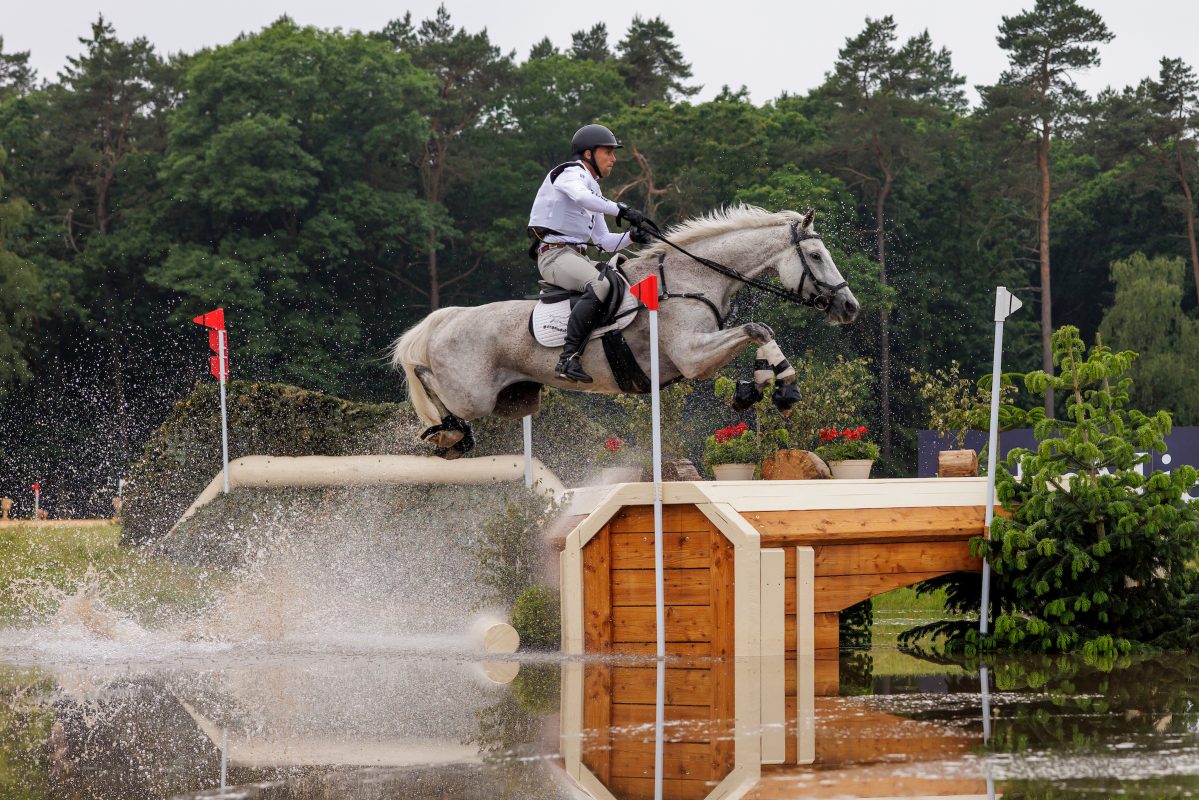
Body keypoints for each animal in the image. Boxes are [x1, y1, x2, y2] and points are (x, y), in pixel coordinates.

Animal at [390, 206, 860, 457]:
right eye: (816, 256)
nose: (850, 308)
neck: (695, 276)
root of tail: (448, 318)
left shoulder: (700, 358)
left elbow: (758, 332)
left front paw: (759, 386)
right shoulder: (692, 356)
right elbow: (758, 327)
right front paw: (782, 388)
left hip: (513, 400)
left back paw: (450, 435)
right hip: (472, 395)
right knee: (426, 379)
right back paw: (447, 429)